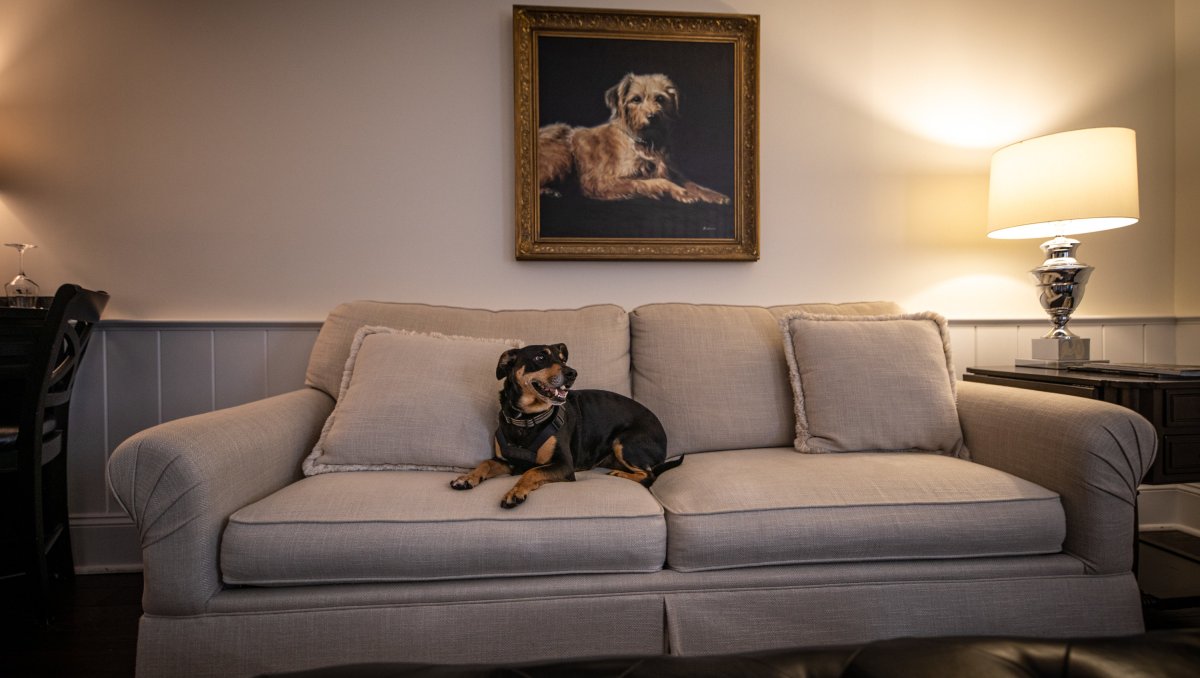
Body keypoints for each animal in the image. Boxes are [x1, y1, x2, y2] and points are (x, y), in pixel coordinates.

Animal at [451, 343, 681, 508]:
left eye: (562, 359)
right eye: (540, 357)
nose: (572, 373)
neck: (526, 419)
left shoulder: (563, 465)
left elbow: (532, 472)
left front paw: (515, 493)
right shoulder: (506, 461)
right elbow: (485, 463)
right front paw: (467, 478)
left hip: (624, 442)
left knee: (649, 475)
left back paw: (621, 474)